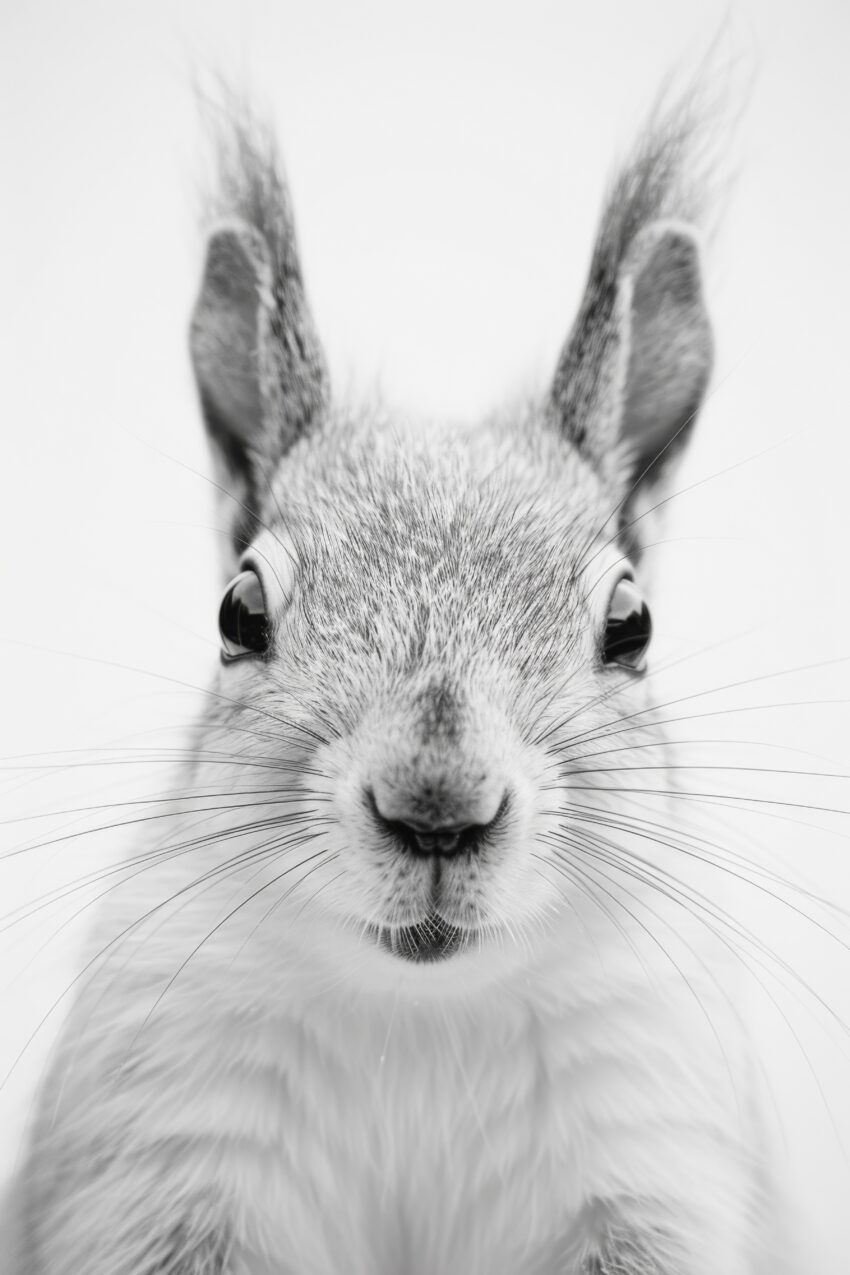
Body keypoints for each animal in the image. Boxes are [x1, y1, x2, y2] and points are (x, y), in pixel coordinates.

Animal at [7, 91, 797, 1275]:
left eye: (632, 624)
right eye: (238, 613)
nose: (437, 807)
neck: (420, 1016)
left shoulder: (653, 1142)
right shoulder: (160, 1145)